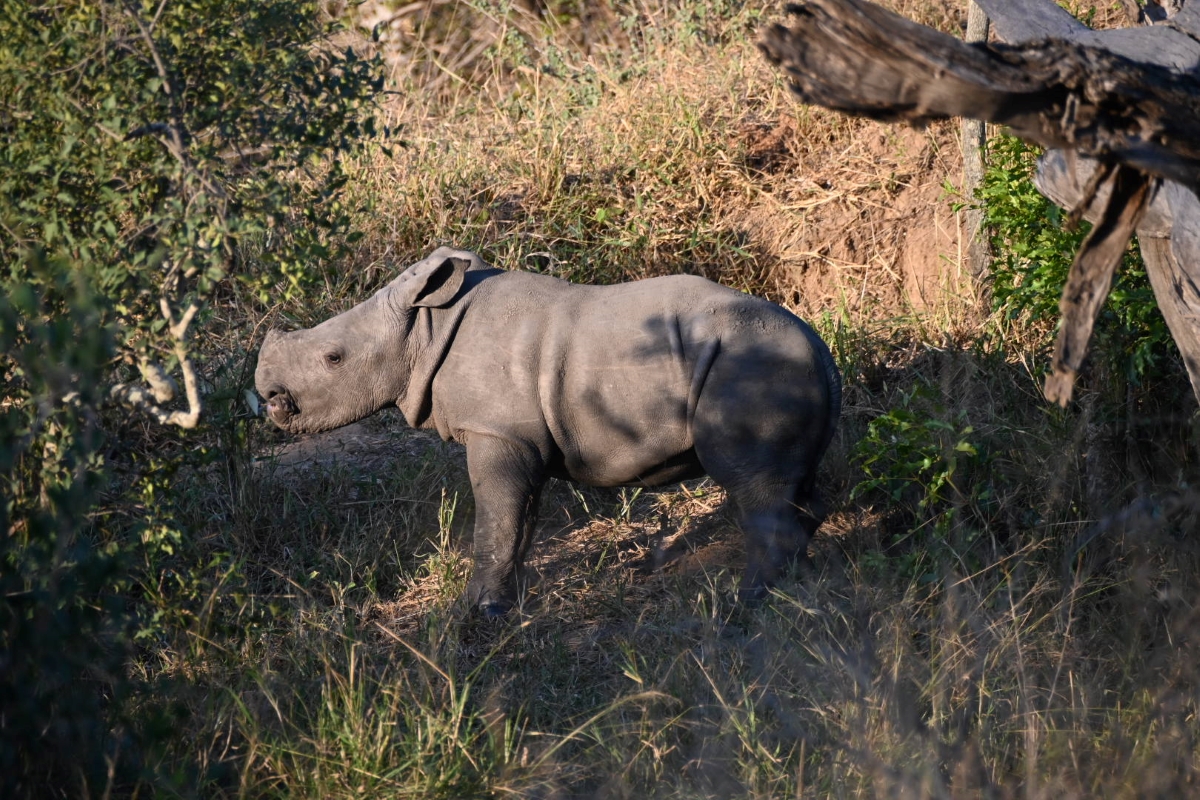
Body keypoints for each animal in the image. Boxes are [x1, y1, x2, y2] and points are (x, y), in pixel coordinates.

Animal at [255, 247, 835, 618]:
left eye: (333, 358)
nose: (269, 396)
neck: (424, 330)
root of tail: (818, 347)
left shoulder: (497, 432)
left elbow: (496, 518)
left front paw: (480, 611)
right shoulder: (522, 438)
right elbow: (519, 520)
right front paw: (509, 601)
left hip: (751, 365)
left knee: (754, 485)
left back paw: (748, 604)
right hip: (777, 364)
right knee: (792, 486)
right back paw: (800, 586)